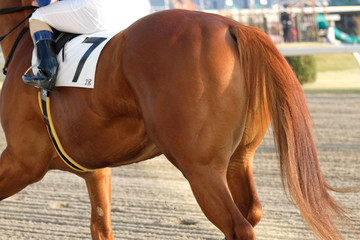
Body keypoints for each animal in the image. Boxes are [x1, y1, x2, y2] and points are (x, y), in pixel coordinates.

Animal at [0, 0, 352, 239]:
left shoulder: (23, 161)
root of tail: (235, 27)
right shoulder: (96, 171)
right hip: (239, 160)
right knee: (251, 212)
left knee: (238, 226)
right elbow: (101, 227)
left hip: (201, 168)